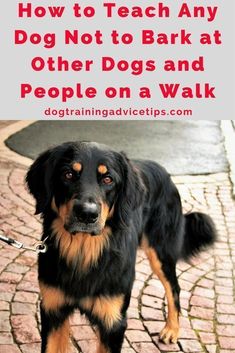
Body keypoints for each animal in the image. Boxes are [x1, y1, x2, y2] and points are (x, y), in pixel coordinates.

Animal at [26, 142, 217, 352]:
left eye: (108, 179)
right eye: (68, 174)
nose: (87, 214)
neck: (84, 253)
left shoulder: (114, 323)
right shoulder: (53, 311)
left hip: (160, 254)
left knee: (174, 288)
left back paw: (172, 329)